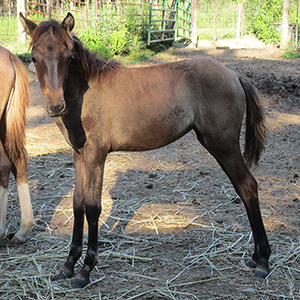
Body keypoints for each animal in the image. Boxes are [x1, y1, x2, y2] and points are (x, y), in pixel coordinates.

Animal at [19, 12, 270, 288]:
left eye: (69, 57)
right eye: (34, 57)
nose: (55, 105)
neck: (87, 93)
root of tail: (234, 74)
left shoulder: (96, 155)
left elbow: (93, 207)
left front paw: (86, 269)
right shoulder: (79, 154)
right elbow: (77, 204)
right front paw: (67, 265)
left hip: (223, 144)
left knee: (247, 186)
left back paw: (263, 261)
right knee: (244, 187)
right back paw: (255, 257)